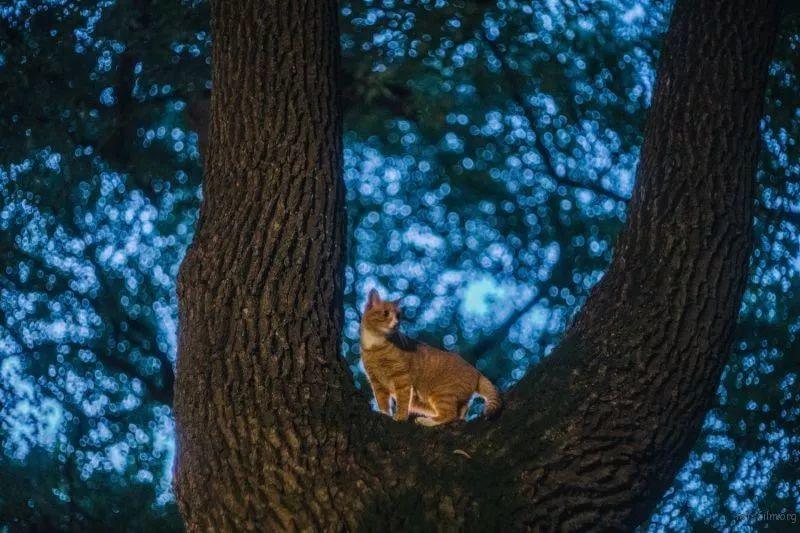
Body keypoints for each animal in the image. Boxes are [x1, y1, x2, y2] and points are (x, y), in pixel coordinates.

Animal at [360, 288, 500, 426]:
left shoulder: (402, 378)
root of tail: (476, 370)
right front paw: (384, 413)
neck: (375, 345)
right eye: (386, 313)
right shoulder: (376, 381)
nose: (396, 323)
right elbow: (382, 401)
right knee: (460, 411)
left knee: (449, 414)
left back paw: (425, 420)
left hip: (441, 393)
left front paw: (400, 416)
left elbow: (403, 401)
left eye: (398, 316)